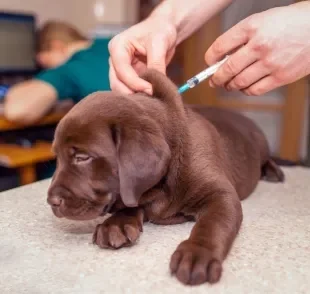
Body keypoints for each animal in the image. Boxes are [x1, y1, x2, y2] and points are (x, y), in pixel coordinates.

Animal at [47, 69, 284, 284]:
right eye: (57, 157)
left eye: (82, 157)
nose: (51, 201)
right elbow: (131, 203)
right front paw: (116, 224)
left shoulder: (220, 195)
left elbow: (213, 223)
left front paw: (197, 254)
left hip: (261, 144)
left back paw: (273, 172)